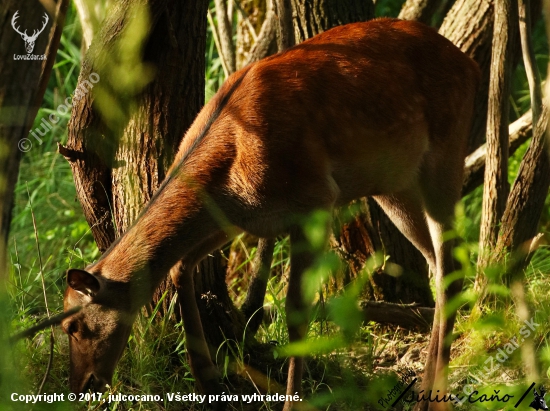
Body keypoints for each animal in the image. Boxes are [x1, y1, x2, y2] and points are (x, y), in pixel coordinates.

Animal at [63, 18, 478, 411]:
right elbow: (182, 266)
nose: (80, 386)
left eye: (74, 326)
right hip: (394, 184)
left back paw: (432, 397)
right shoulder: (241, 217)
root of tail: (469, 63)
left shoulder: (315, 198)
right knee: (437, 266)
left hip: (447, 151)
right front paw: (208, 381)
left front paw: (293, 401)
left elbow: (296, 312)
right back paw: (427, 391)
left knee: (453, 264)